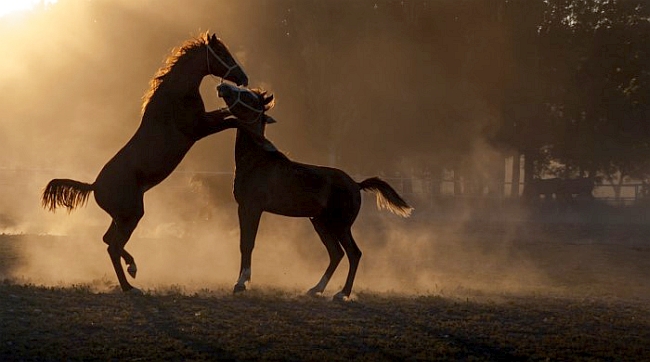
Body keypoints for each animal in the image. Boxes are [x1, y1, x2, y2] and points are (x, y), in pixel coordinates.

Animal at [40, 33, 247, 294]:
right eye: (222, 52)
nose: (243, 78)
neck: (176, 95)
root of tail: (94, 186)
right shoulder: (198, 129)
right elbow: (232, 121)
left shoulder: (205, 120)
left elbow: (226, 114)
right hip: (132, 214)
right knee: (113, 246)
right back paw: (130, 284)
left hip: (122, 216)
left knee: (108, 241)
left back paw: (131, 270)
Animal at [216, 83, 410, 302]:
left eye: (249, 97)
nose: (222, 86)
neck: (256, 161)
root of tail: (356, 184)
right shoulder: (244, 208)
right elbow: (244, 243)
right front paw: (242, 281)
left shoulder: (252, 208)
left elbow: (248, 243)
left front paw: (241, 283)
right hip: (320, 222)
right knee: (336, 253)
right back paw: (316, 289)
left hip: (340, 225)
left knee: (354, 253)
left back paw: (342, 293)